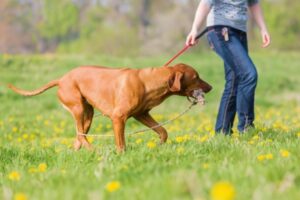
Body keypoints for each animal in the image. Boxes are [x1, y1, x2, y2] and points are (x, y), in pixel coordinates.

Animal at [8, 63, 211, 151]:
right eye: (196, 77)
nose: (211, 87)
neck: (149, 81)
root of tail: (61, 79)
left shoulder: (142, 114)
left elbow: (163, 131)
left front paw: (160, 145)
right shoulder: (118, 118)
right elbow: (121, 143)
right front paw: (122, 156)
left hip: (88, 115)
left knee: (79, 137)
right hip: (78, 108)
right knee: (80, 135)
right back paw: (92, 150)